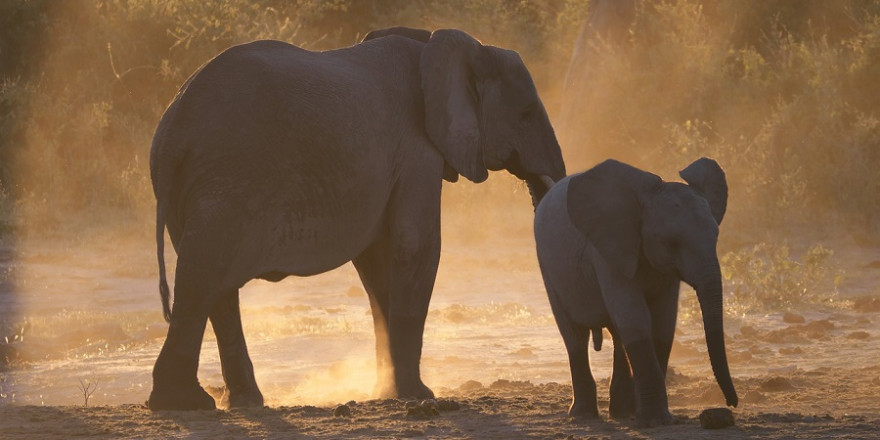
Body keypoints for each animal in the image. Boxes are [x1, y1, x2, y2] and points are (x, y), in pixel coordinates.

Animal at [148, 27, 568, 410]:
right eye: (526, 114)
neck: (443, 45)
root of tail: (173, 128)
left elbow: (378, 259)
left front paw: (386, 392)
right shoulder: (417, 147)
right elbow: (416, 245)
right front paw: (418, 395)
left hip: (197, 189)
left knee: (212, 283)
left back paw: (241, 402)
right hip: (229, 178)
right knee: (204, 275)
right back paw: (184, 403)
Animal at [536, 158, 736, 426]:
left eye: (716, 237)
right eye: (671, 243)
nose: (731, 403)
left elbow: (663, 324)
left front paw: (650, 417)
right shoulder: (608, 251)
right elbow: (635, 317)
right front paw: (654, 421)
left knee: (618, 336)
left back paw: (622, 412)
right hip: (548, 268)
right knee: (575, 335)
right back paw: (583, 415)